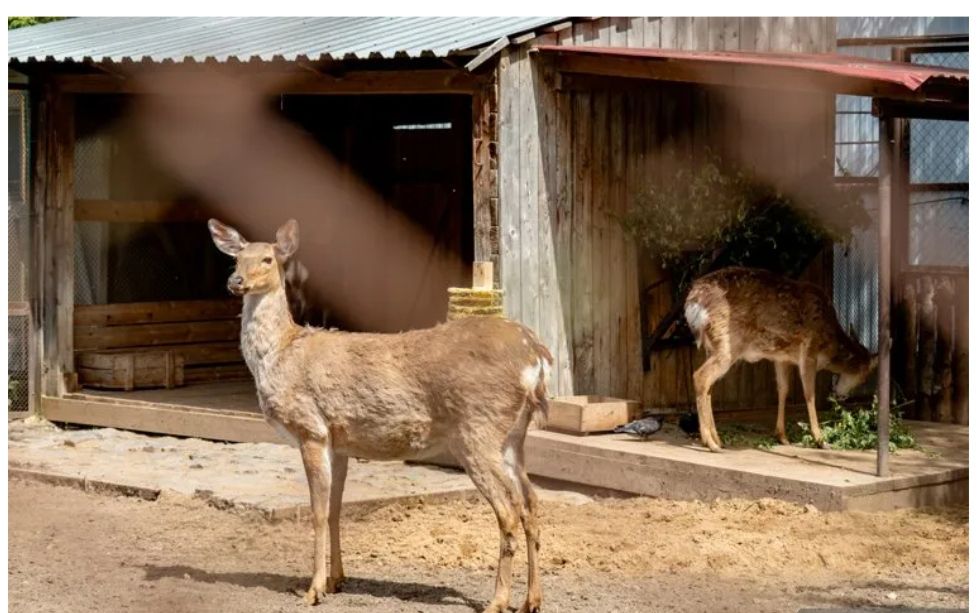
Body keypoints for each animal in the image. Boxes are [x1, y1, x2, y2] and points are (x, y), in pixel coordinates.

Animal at [208, 220, 552, 612]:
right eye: (236, 258)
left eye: (267, 258)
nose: (236, 281)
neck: (280, 354)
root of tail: (536, 358)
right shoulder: (339, 441)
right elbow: (335, 510)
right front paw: (337, 580)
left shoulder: (311, 429)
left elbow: (317, 512)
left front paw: (313, 590)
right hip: (513, 437)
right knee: (531, 503)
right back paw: (532, 600)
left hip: (477, 430)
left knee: (508, 509)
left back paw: (497, 601)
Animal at [680, 266, 880, 450]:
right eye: (864, 377)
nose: (840, 394)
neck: (828, 343)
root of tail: (692, 303)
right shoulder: (809, 349)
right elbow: (809, 393)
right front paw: (821, 440)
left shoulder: (782, 357)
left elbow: (783, 390)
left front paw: (782, 436)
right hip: (727, 344)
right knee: (700, 376)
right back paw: (710, 442)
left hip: (712, 346)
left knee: (709, 387)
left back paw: (718, 440)